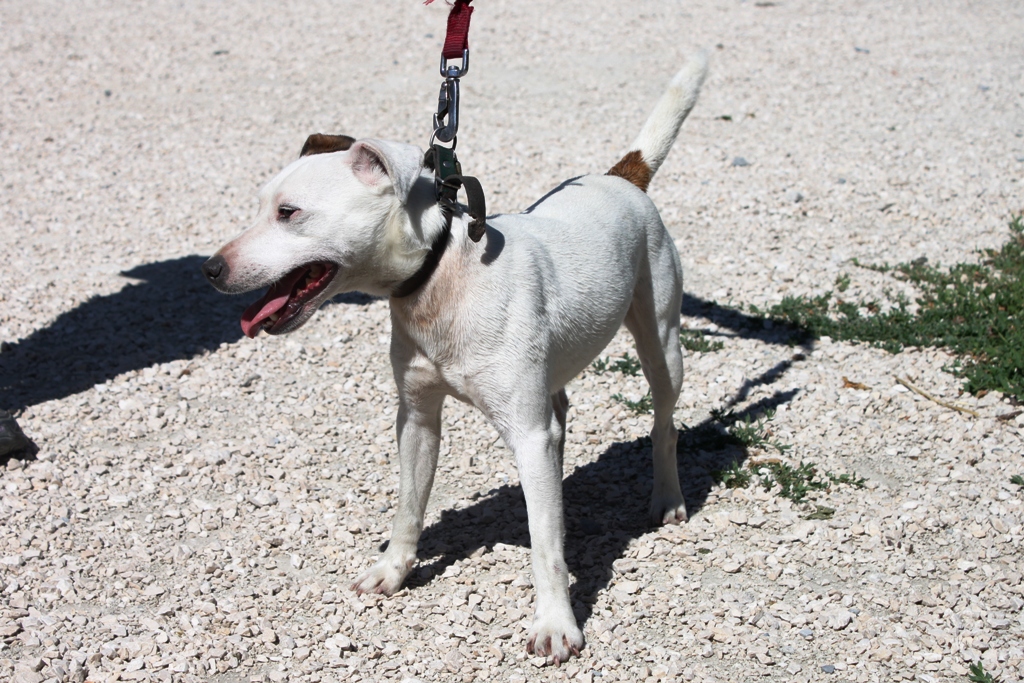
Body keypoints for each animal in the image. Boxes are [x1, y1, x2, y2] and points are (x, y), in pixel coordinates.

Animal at [204, 53, 708, 663]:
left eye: (288, 212)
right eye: (262, 206)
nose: (209, 270)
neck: (440, 275)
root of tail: (620, 175)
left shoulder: (525, 430)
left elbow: (544, 547)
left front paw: (555, 623)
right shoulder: (417, 416)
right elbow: (408, 506)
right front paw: (392, 572)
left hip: (662, 343)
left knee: (664, 424)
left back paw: (667, 497)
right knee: (562, 421)